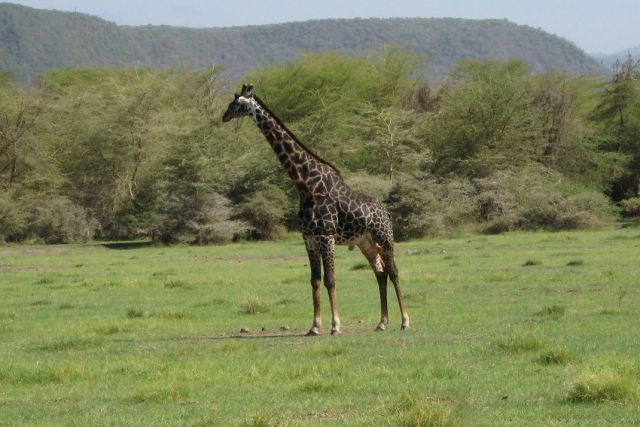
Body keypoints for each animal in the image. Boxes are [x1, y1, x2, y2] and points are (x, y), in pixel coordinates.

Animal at [221, 84, 410, 338]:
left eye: (238, 103)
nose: (224, 116)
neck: (305, 184)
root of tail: (386, 212)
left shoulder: (325, 235)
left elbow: (330, 280)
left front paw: (335, 326)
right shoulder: (308, 238)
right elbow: (315, 281)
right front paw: (314, 326)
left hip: (384, 238)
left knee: (394, 272)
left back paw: (405, 321)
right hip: (366, 242)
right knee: (380, 273)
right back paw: (381, 322)